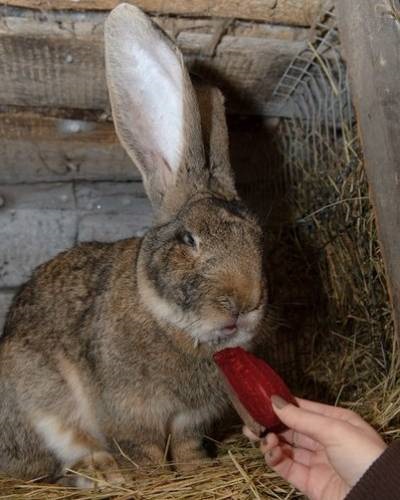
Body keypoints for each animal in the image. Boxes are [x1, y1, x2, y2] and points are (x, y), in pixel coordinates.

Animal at [0, 2, 268, 488]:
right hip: (37, 404)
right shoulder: (130, 416)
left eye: (259, 237)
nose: (245, 303)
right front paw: (152, 477)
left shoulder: (188, 422)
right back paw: (100, 471)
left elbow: (186, 448)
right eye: (188, 238)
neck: (174, 325)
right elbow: (143, 451)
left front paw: (198, 469)